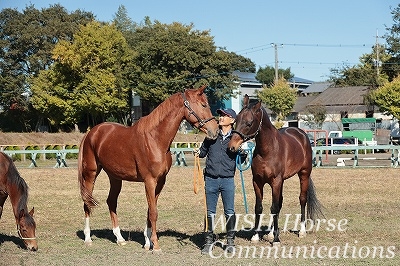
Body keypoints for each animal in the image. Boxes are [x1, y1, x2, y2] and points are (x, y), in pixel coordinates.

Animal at [76, 85, 217, 251]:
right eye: (204, 105)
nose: (215, 131)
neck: (155, 139)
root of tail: (91, 133)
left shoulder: (160, 182)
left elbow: (151, 209)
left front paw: (147, 242)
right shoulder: (149, 181)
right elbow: (154, 212)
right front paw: (155, 245)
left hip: (115, 177)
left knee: (111, 202)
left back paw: (119, 238)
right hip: (90, 174)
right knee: (87, 202)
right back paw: (87, 238)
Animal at [227, 95, 324, 245]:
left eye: (249, 123)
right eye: (236, 121)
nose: (232, 147)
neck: (267, 150)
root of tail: (301, 134)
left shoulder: (276, 181)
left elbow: (273, 207)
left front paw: (277, 240)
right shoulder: (258, 182)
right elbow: (260, 207)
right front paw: (256, 236)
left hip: (303, 174)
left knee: (302, 199)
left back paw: (301, 231)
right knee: (279, 202)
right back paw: (271, 233)